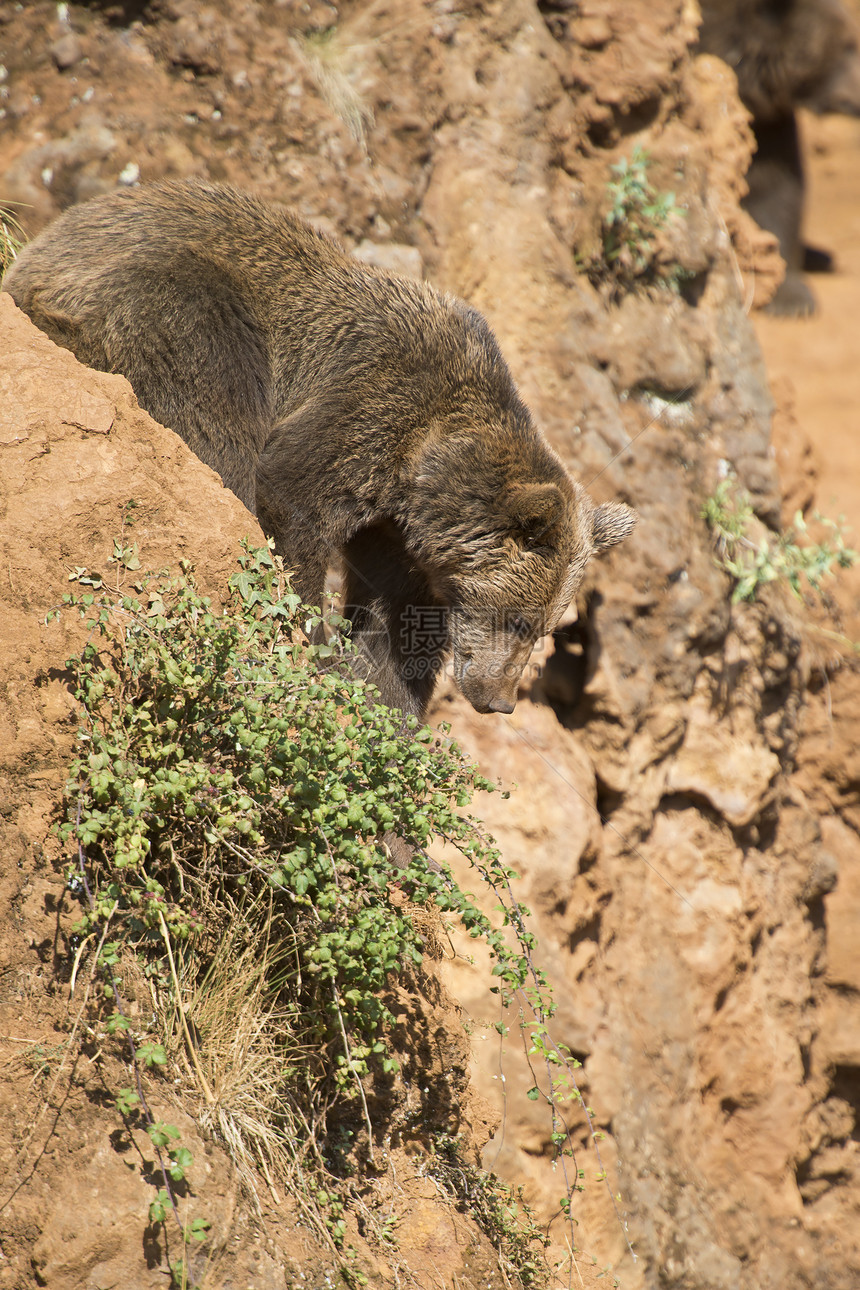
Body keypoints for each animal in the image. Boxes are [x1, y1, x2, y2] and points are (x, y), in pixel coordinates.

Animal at [3, 181, 636, 722]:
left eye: (547, 628)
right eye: (522, 620)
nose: (500, 700)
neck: (427, 468)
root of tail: (37, 251)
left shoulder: (400, 532)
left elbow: (393, 620)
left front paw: (387, 702)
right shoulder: (371, 403)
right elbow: (293, 499)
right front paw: (308, 640)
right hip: (175, 302)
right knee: (210, 408)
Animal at [701, 0, 860, 316]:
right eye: (849, 46)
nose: (858, 101)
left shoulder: (769, 126)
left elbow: (779, 191)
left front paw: (790, 296)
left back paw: (820, 255)